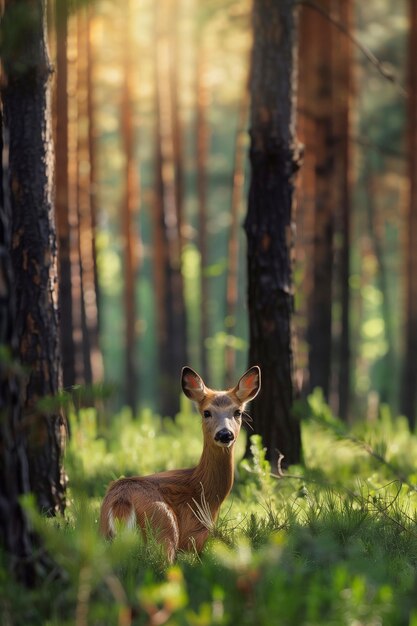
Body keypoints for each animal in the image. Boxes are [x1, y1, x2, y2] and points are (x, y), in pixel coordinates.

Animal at [98, 364, 260, 560]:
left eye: (238, 412)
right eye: (207, 412)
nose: (224, 434)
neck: (203, 492)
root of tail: (121, 502)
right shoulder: (194, 537)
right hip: (164, 528)